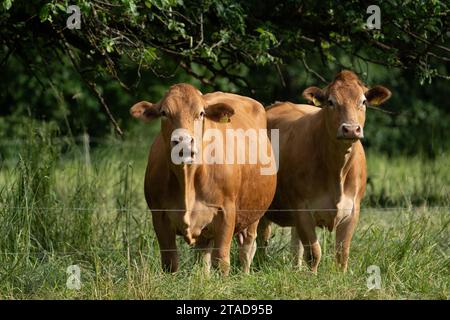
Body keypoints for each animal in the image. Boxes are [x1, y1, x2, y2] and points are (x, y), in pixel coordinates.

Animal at [131, 83, 278, 276]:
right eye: (164, 113)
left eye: (200, 113)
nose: (183, 141)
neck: (188, 179)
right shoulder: (159, 216)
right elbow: (170, 263)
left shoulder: (226, 213)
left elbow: (222, 261)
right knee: (203, 256)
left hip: (254, 213)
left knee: (247, 248)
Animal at [258, 70, 392, 272]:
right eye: (331, 102)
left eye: (363, 101)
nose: (350, 129)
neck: (337, 171)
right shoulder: (302, 209)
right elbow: (314, 253)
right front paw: (312, 277)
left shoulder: (352, 210)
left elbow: (342, 253)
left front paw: (340, 276)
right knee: (262, 238)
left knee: (295, 244)